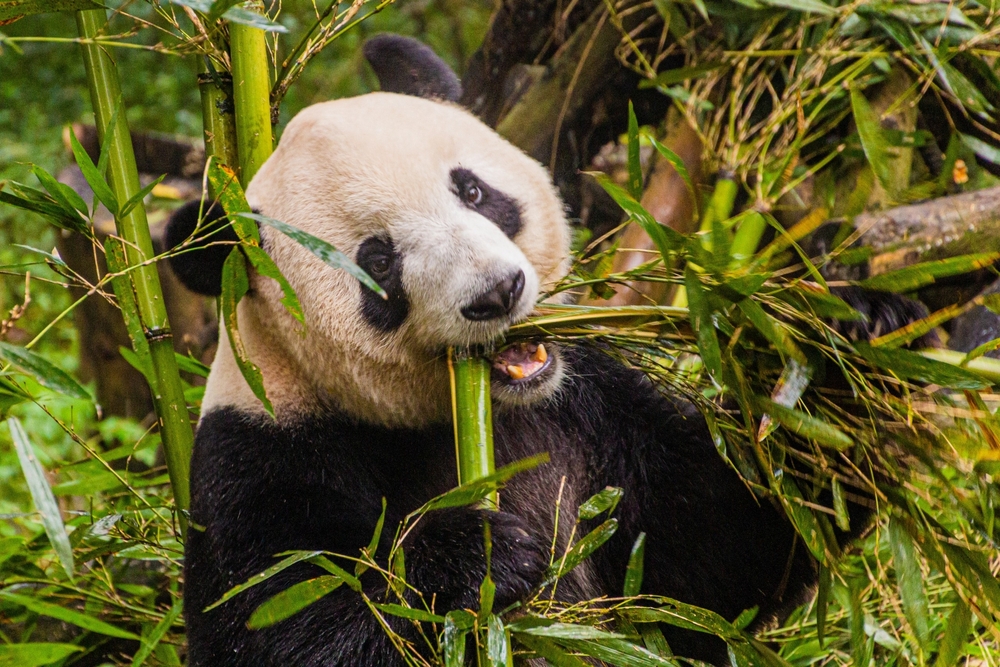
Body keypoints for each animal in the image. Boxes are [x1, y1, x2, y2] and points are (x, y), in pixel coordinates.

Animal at [166, 35, 928, 666]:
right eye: (377, 262)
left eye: (474, 190)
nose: (497, 292)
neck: (471, 413)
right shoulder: (266, 454)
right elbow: (291, 621)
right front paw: (474, 557)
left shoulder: (591, 406)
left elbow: (714, 548)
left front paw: (855, 341)